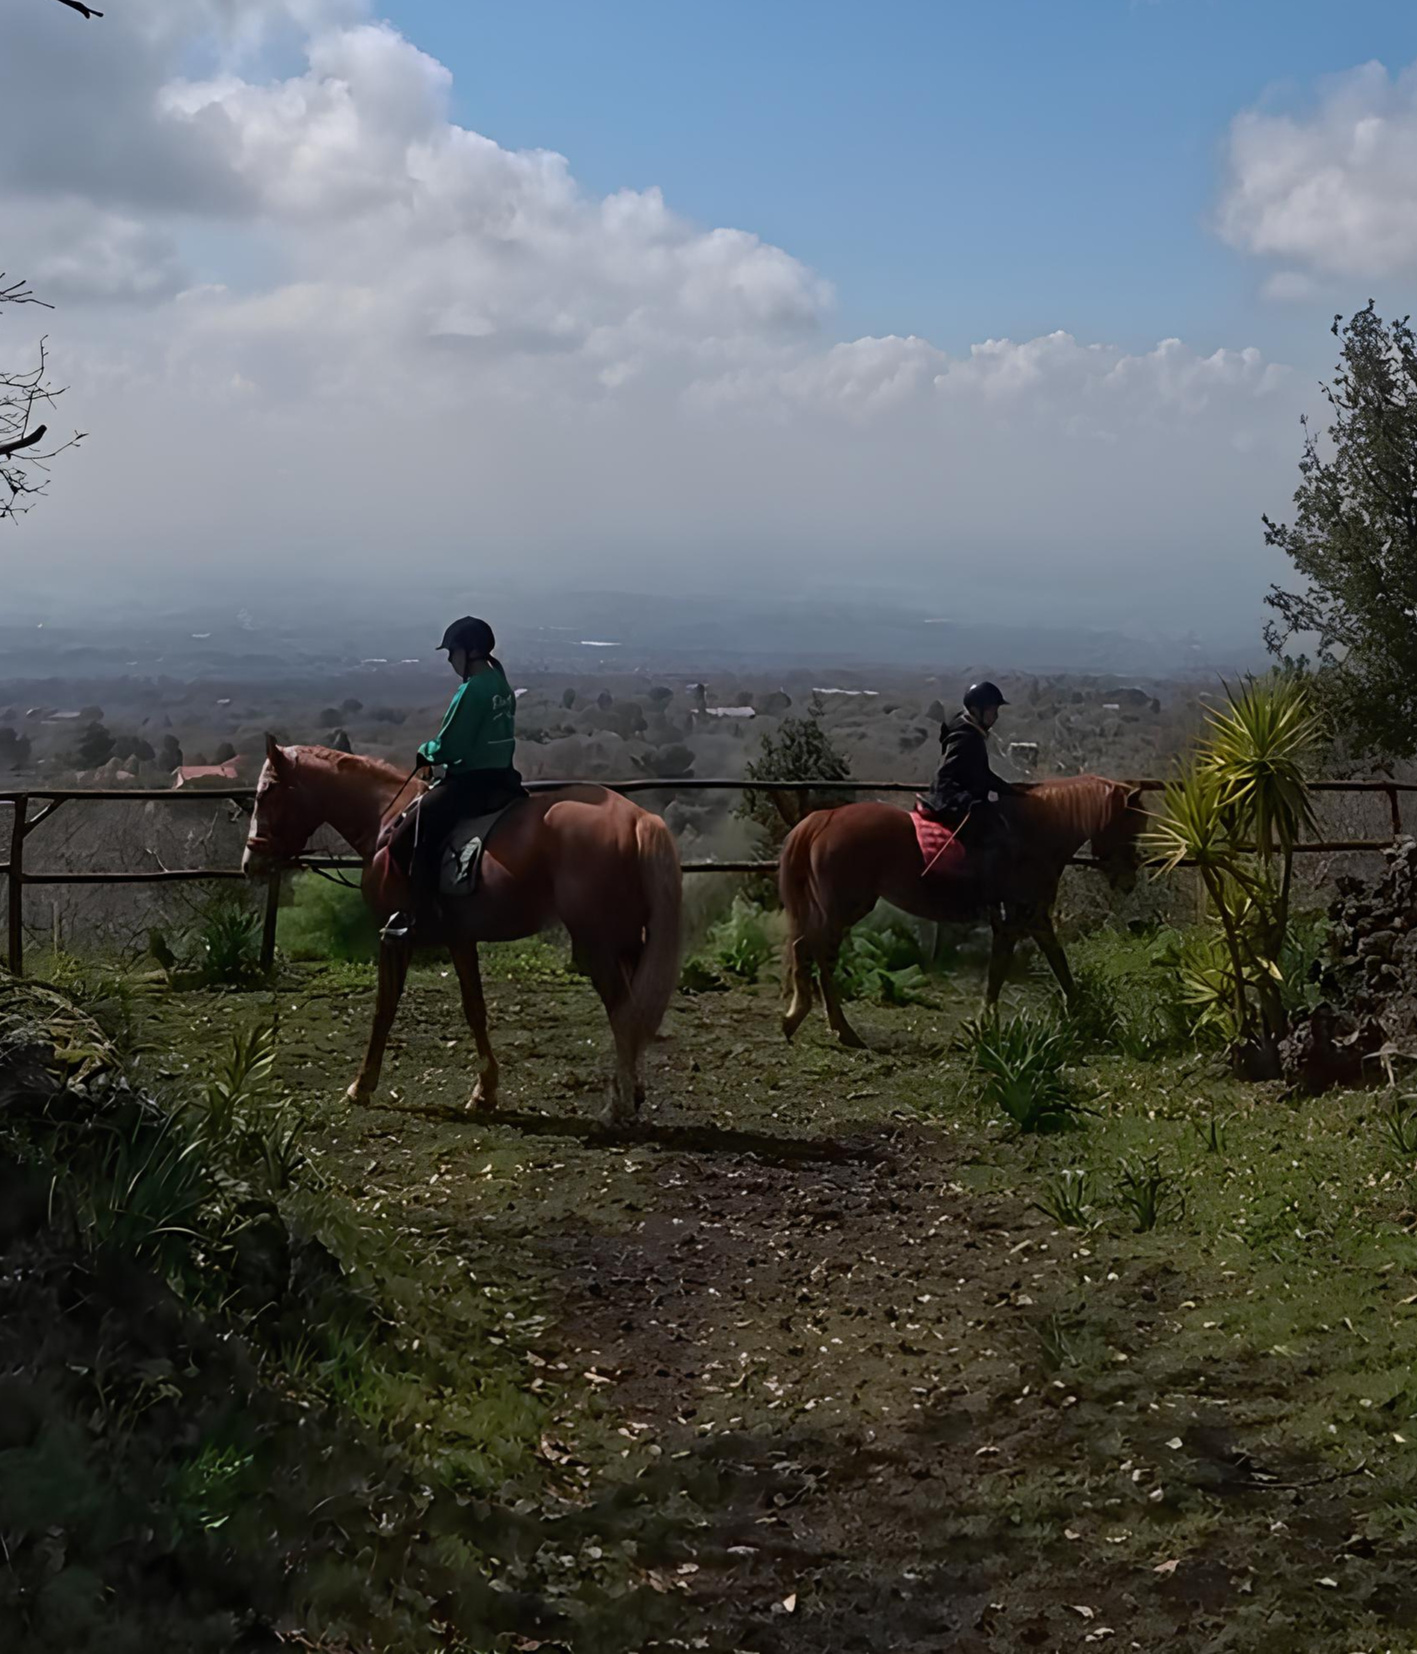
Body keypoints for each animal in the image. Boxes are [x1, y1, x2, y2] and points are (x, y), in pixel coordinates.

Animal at [241, 737, 682, 1120]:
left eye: (267, 793)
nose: (250, 863)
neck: (384, 818)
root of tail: (639, 819)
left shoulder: (396, 936)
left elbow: (384, 1008)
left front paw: (361, 1086)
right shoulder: (460, 937)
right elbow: (475, 1009)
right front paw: (484, 1092)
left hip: (599, 944)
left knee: (622, 1011)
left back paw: (618, 1104)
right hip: (625, 942)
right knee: (633, 1011)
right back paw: (632, 1093)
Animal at [778, 775, 1146, 1048]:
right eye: (1132, 824)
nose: (1129, 880)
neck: (1034, 834)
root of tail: (824, 819)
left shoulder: (1033, 918)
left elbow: (1057, 963)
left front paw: (1086, 1014)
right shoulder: (1017, 919)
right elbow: (1001, 972)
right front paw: (986, 1027)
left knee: (807, 948)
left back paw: (803, 1019)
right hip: (845, 907)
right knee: (819, 953)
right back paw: (837, 1028)